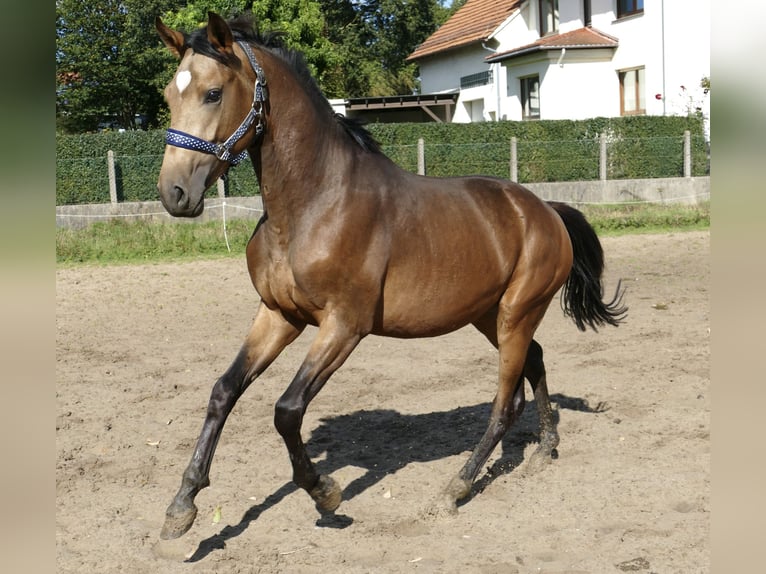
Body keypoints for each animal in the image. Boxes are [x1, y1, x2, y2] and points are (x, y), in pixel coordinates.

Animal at [153, 13, 628, 544]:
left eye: (213, 93)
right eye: (169, 95)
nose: (174, 192)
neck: (313, 205)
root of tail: (546, 210)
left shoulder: (345, 325)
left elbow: (287, 409)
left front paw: (326, 493)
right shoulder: (278, 315)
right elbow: (224, 391)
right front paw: (182, 506)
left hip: (516, 315)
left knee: (506, 403)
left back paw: (454, 489)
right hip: (490, 316)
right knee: (537, 362)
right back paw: (546, 447)